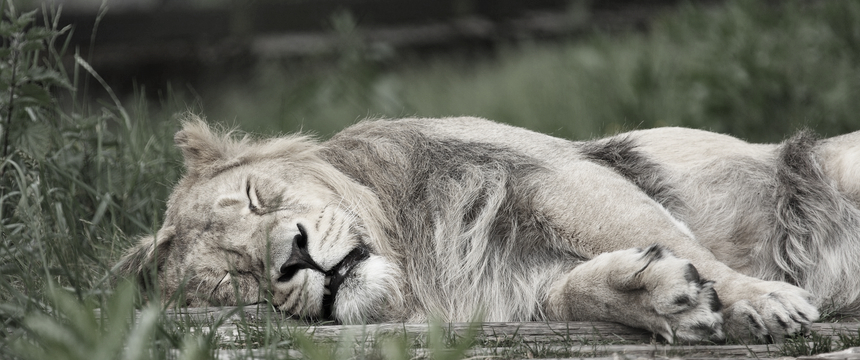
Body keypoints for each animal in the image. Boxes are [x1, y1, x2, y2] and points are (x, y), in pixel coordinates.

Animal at [119, 115, 860, 344]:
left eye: (255, 198)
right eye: (236, 280)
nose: (293, 258)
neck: (417, 265)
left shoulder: (558, 175)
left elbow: (672, 235)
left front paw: (762, 299)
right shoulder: (511, 288)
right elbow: (572, 294)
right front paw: (663, 299)